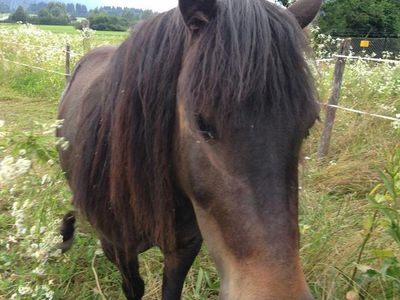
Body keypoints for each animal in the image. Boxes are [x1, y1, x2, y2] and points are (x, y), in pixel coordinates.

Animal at [57, 1, 322, 298]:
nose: (279, 290)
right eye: (201, 122)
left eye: (309, 124)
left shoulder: (185, 246)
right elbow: (133, 287)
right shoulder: (118, 249)